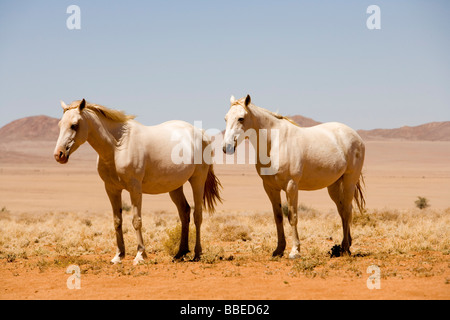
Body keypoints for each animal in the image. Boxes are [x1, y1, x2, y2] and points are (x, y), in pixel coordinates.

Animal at [53, 99, 222, 264]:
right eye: (60, 125)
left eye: (74, 125)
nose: (58, 154)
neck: (118, 146)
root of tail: (201, 133)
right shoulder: (111, 188)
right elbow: (117, 221)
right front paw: (118, 256)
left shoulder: (134, 188)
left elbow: (136, 220)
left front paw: (140, 255)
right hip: (175, 186)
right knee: (184, 213)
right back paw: (180, 253)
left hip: (197, 180)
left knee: (197, 215)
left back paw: (197, 254)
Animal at [222, 94, 366, 258]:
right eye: (226, 118)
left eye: (241, 118)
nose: (226, 147)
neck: (275, 143)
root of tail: (355, 136)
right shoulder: (270, 188)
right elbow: (278, 217)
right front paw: (278, 249)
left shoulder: (291, 186)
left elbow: (292, 217)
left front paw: (295, 251)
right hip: (334, 186)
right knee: (343, 211)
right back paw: (344, 246)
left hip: (349, 181)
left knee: (347, 211)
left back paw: (346, 248)